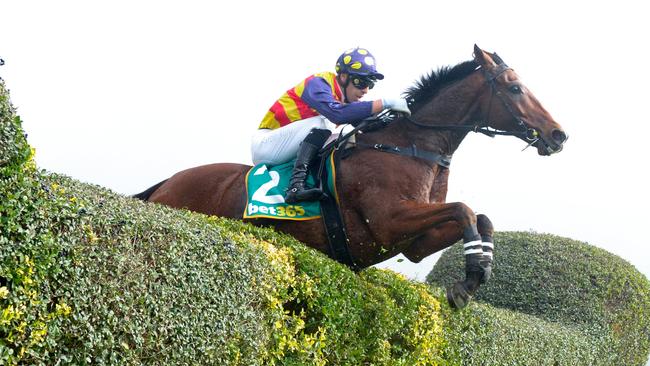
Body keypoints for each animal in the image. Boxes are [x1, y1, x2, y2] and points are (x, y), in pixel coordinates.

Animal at [133, 45, 568, 308]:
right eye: (515, 88)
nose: (557, 134)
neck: (410, 145)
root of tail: (165, 183)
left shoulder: (412, 242)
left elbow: (480, 217)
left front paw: (477, 271)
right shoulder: (389, 220)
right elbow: (463, 209)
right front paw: (470, 278)